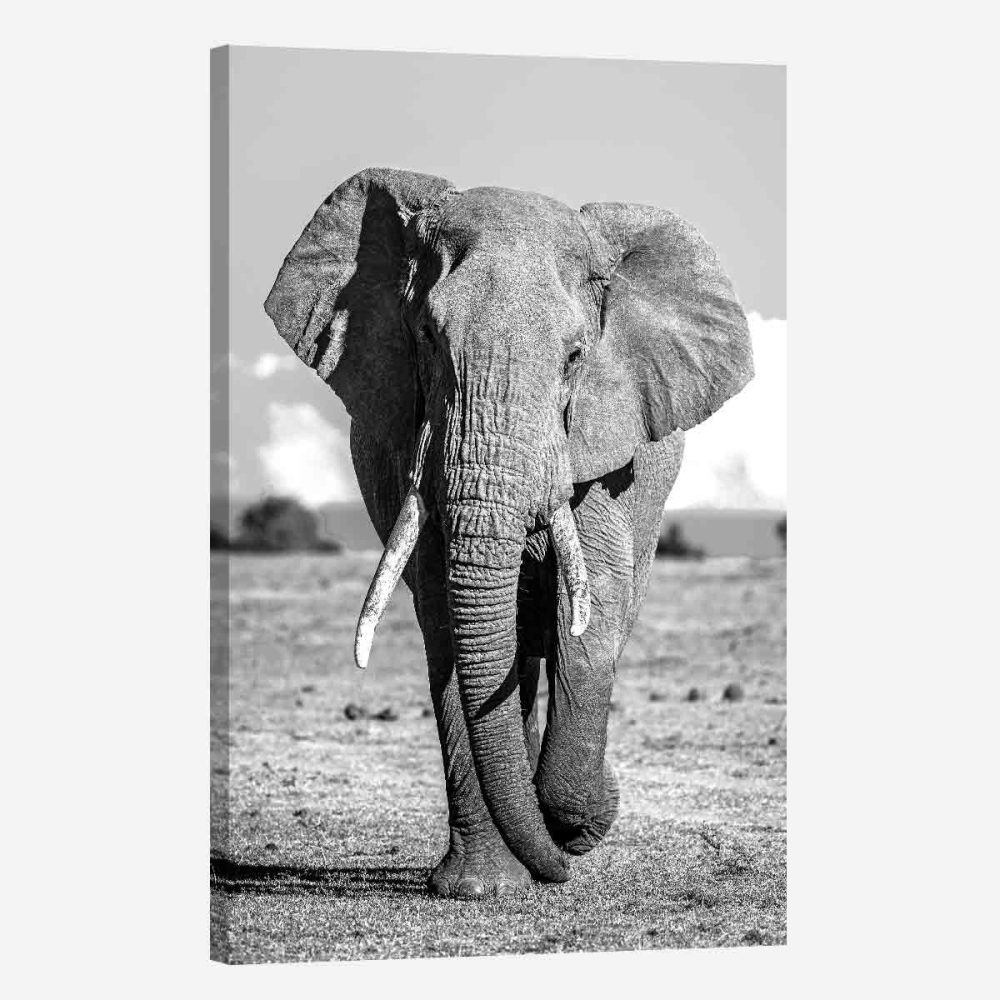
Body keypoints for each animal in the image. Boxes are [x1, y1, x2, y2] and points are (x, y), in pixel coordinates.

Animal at [264, 167, 754, 898]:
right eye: (427, 340)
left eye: (576, 357)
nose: (561, 866)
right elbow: (446, 619)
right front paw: (482, 887)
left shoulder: (598, 447)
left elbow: (591, 612)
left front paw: (572, 824)